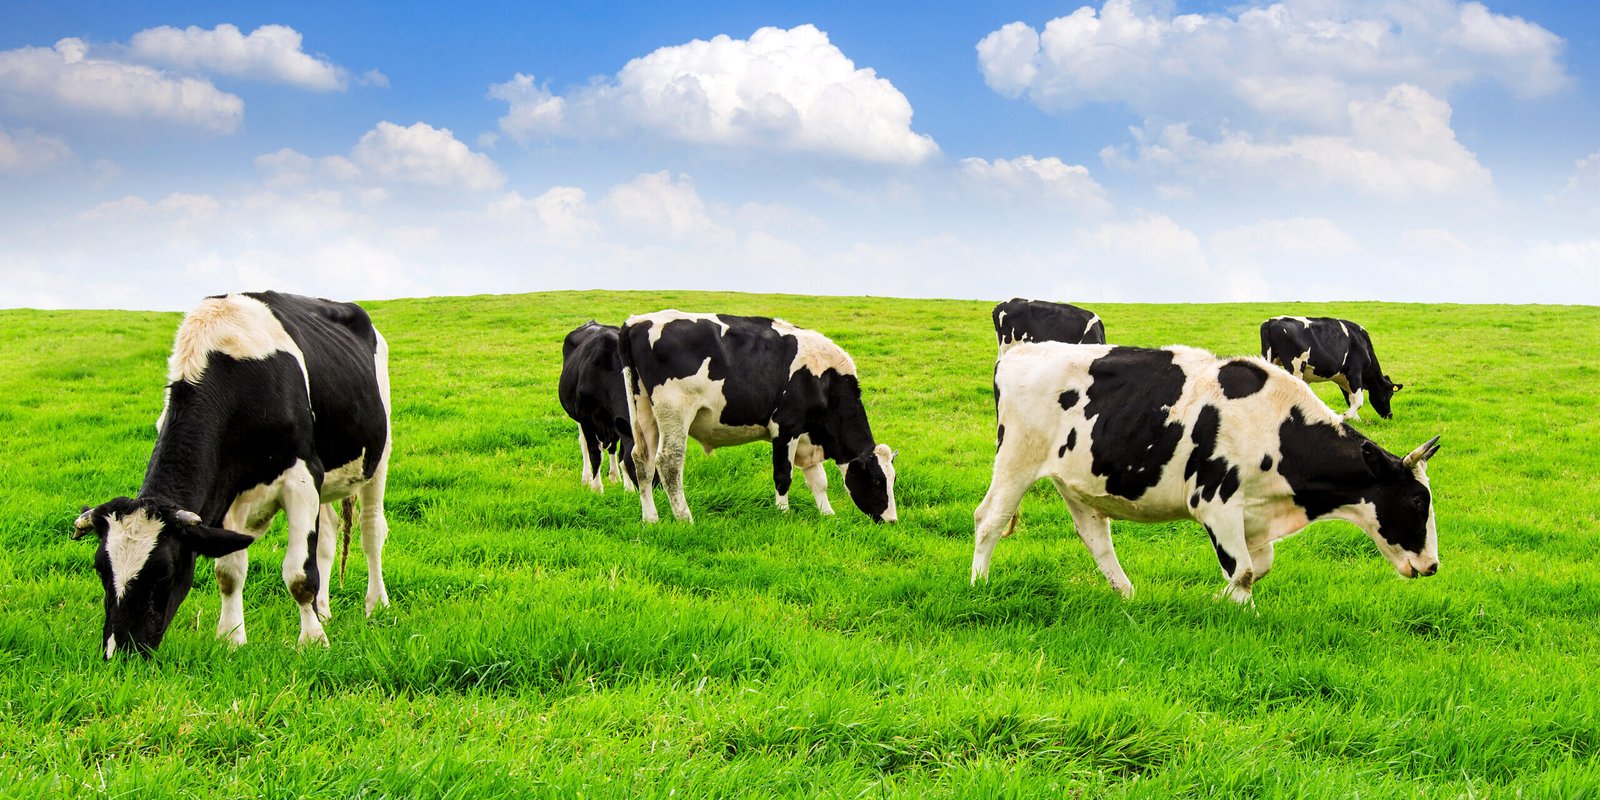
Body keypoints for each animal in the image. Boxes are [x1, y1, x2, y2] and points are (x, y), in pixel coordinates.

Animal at [71, 291, 393, 658]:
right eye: (100, 568)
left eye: (164, 573)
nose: (119, 651)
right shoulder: (228, 491)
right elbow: (228, 571)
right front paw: (230, 638)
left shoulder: (301, 475)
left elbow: (299, 574)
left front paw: (313, 641)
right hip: (325, 479)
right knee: (327, 535)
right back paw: (323, 610)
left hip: (379, 454)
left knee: (371, 530)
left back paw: (376, 605)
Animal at [559, 321, 636, 492]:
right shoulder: (586, 419)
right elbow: (594, 453)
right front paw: (596, 487)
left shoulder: (621, 423)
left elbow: (622, 454)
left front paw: (628, 488)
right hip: (578, 418)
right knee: (584, 445)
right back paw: (586, 478)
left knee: (612, 446)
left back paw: (614, 476)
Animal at [618, 310, 898, 524]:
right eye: (876, 481)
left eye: (892, 479)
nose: (891, 521)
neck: (826, 381)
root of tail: (636, 322)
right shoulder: (785, 427)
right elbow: (783, 474)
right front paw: (783, 513)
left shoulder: (808, 436)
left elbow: (819, 481)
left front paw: (827, 514)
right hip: (674, 409)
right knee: (669, 462)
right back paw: (685, 518)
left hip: (643, 409)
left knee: (641, 459)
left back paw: (651, 518)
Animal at [973, 342, 1441, 604]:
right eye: (1418, 500)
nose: (1433, 566)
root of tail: (1017, 353)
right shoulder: (1216, 502)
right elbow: (1245, 570)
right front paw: (1238, 610)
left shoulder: (1254, 516)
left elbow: (1257, 566)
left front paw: (1218, 599)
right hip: (1016, 458)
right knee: (989, 519)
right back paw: (980, 585)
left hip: (1079, 480)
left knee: (1096, 538)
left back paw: (1128, 596)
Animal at [1260, 316, 1403, 420]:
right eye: (1390, 394)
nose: (1390, 415)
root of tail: (1271, 321)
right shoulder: (1355, 373)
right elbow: (1358, 400)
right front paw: (1344, 416)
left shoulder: (1343, 378)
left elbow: (1350, 399)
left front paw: (1356, 420)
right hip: (1295, 366)